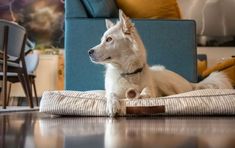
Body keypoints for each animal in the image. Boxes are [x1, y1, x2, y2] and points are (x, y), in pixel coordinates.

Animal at [88, 10, 233, 117]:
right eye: (102, 40)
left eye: (109, 39)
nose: (89, 52)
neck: (129, 73)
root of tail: (189, 82)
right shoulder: (111, 90)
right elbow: (110, 95)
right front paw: (112, 105)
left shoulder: (150, 86)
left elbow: (148, 89)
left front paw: (145, 94)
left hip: (165, 81)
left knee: (179, 93)